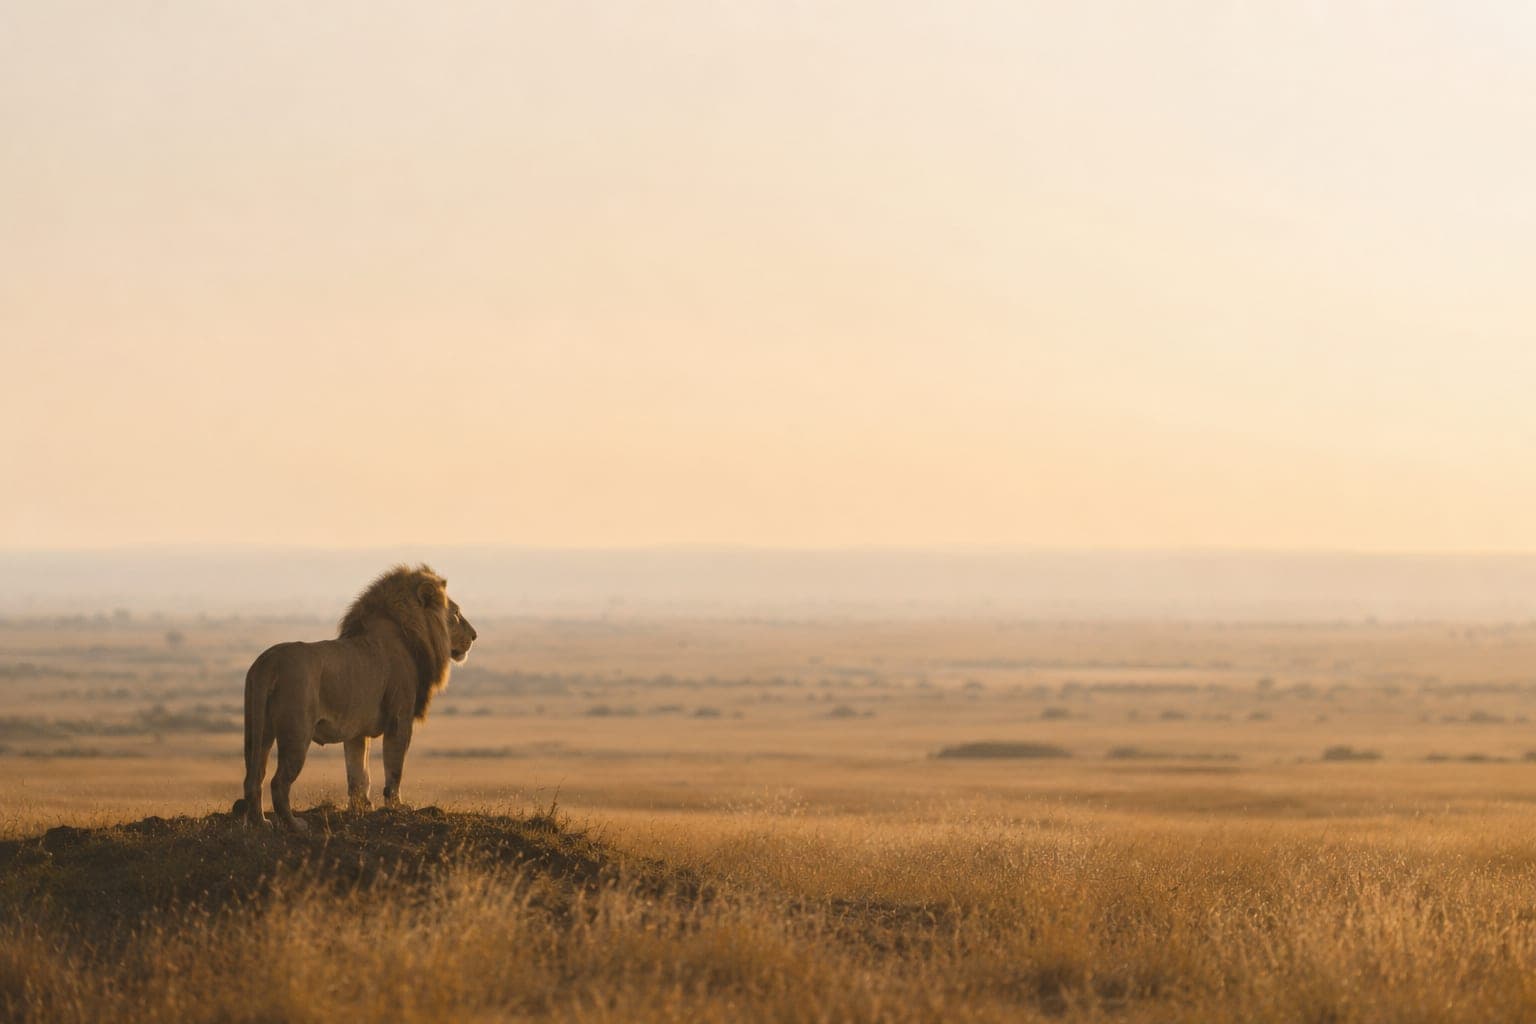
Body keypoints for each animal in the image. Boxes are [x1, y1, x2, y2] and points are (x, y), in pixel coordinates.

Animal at [233, 564, 476, 830]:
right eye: (456, 614)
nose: (475, 636)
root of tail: (268, 662)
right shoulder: (400, 718)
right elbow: (394, 767)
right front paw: (397, 807)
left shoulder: (356, 730)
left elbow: (358, 773)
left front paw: (360, 808)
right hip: (297, 733)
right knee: (278, 783)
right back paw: (295, 825)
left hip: (258, 730)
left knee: (253, 778)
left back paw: (261, 822)